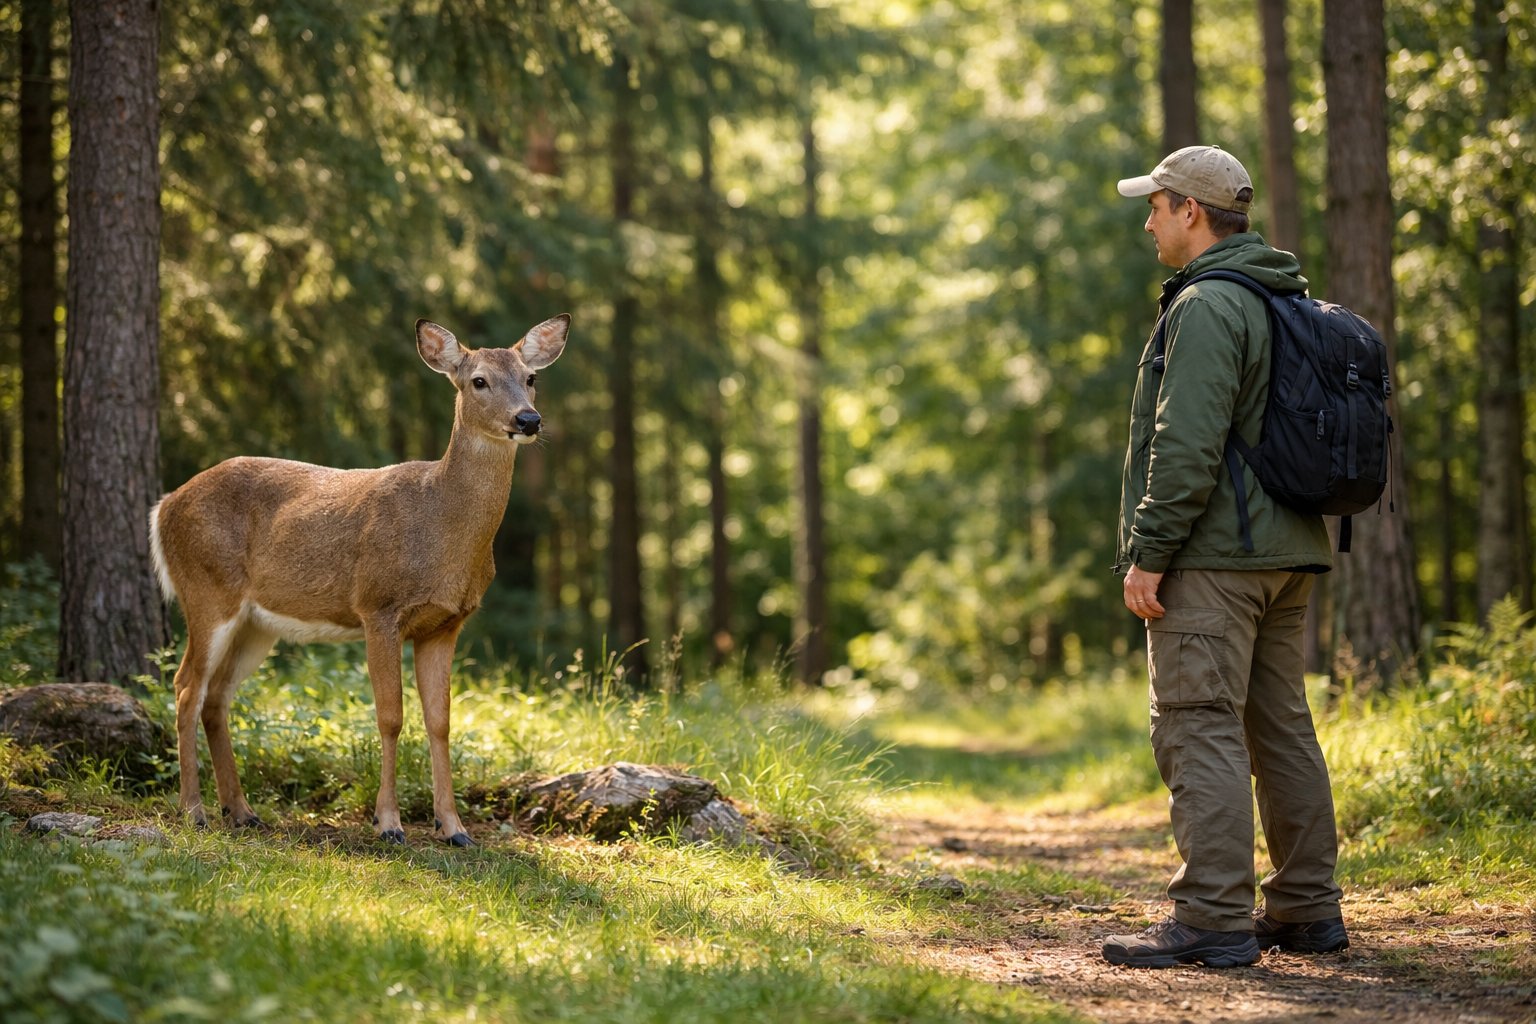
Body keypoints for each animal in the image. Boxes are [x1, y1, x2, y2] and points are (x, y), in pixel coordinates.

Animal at [148, 315, 569, 847]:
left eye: (531, 378)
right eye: (478, 381)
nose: (528, 420)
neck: (442, 528)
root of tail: (163, 507)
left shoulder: (446, 623)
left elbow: (441, 722)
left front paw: (453, 828)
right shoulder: (377, 606)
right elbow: (391, 716)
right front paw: (388, 824)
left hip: (256, 624)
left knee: (217, 697)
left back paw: (241, 812)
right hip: (206, 590)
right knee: (186, 687)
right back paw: (193, 811)